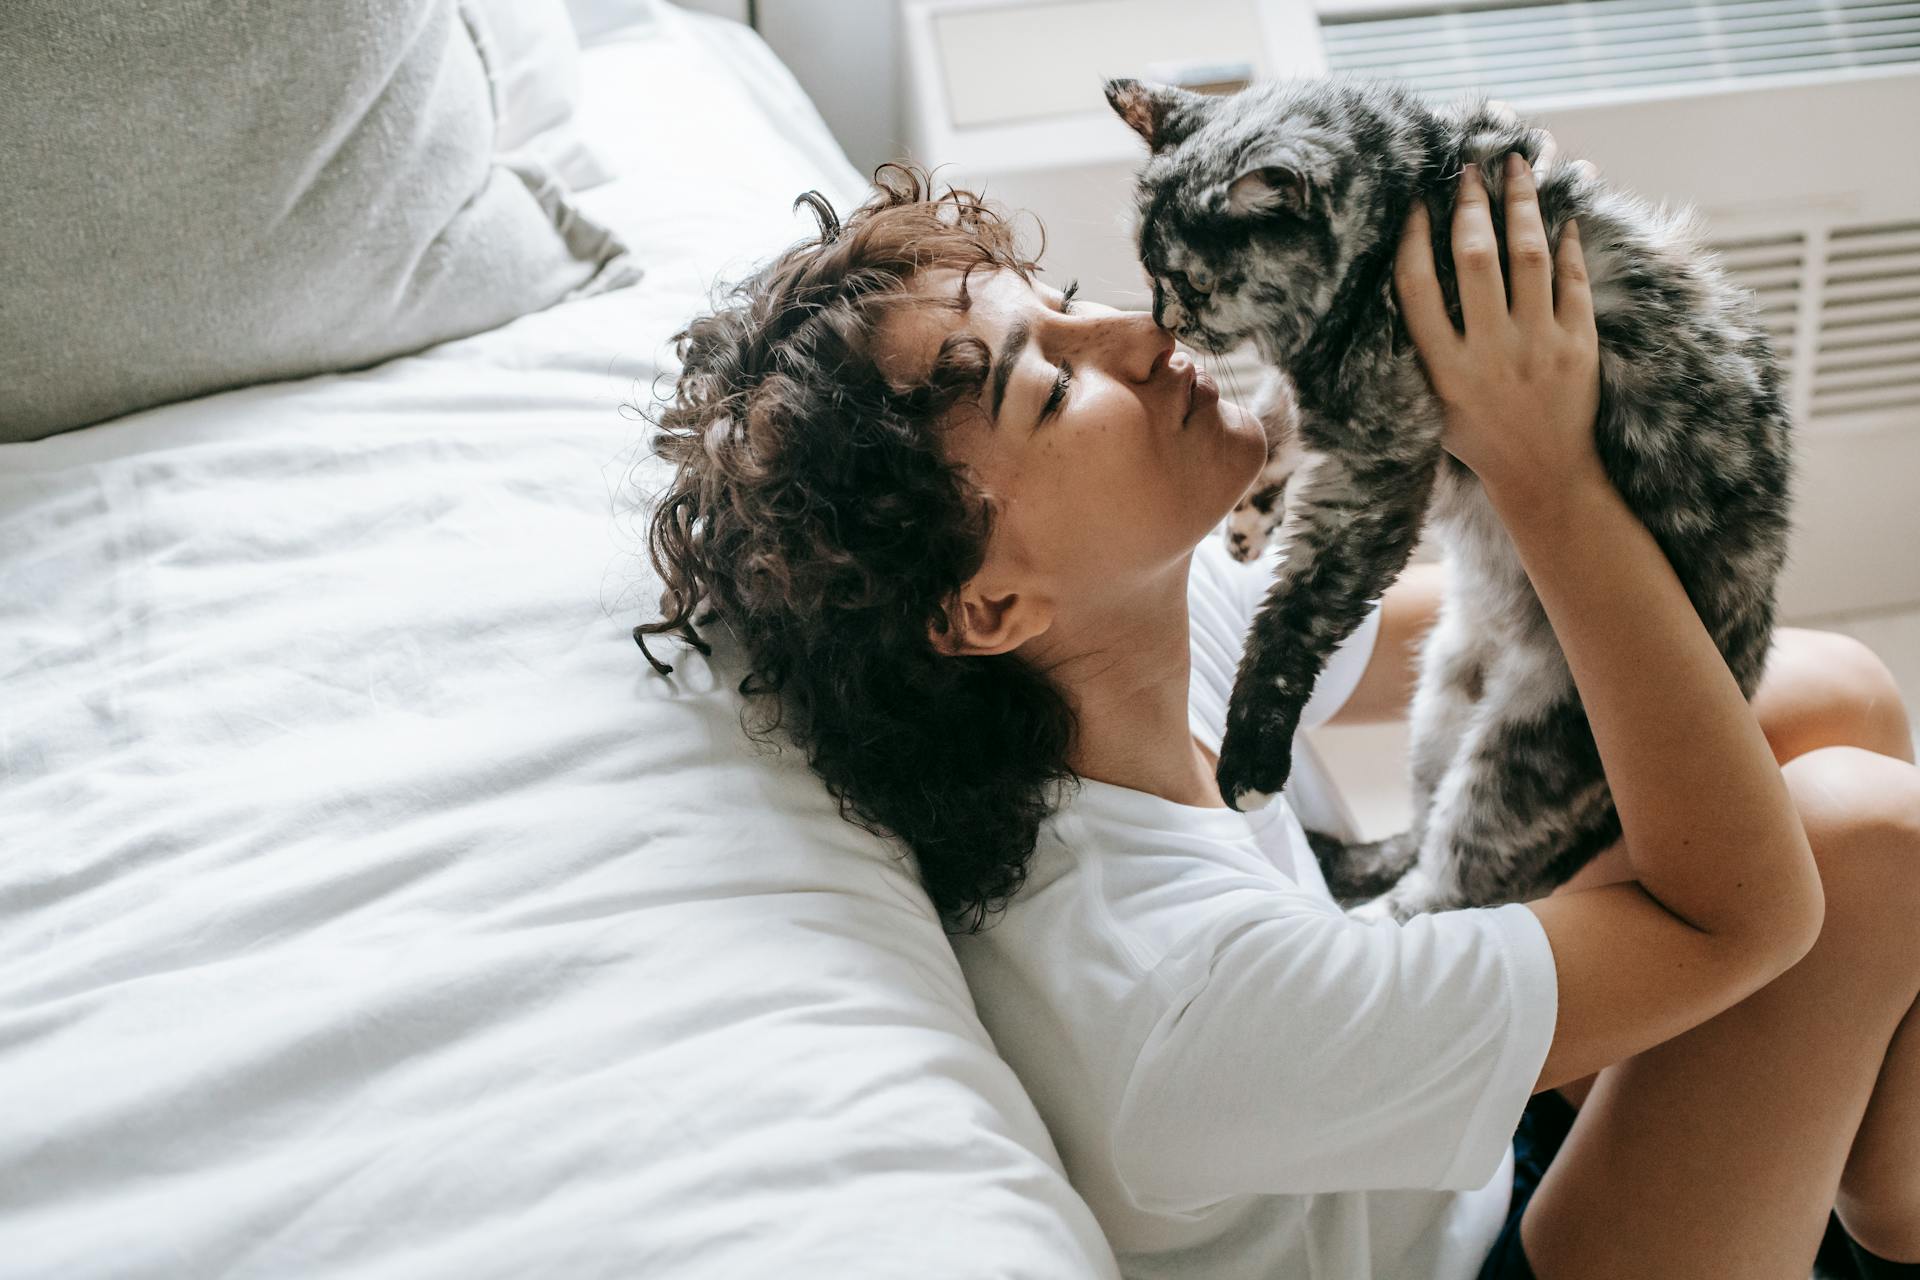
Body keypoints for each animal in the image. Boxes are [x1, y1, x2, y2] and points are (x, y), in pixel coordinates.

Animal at [1113, 80, 1797, 921]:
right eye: (1149, 271)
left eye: (1194, 282)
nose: (1162, 322)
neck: (1413, 190)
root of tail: (1745, 673)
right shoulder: (1337, 405)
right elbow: (1274, 423)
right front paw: (1249, 522)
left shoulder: (1379, 466)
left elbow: (1293, 616)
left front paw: (1250, 759)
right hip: (1440, 703)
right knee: (1423, 828)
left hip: (1521, 755)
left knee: (1448, 885)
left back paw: (1374, 913)